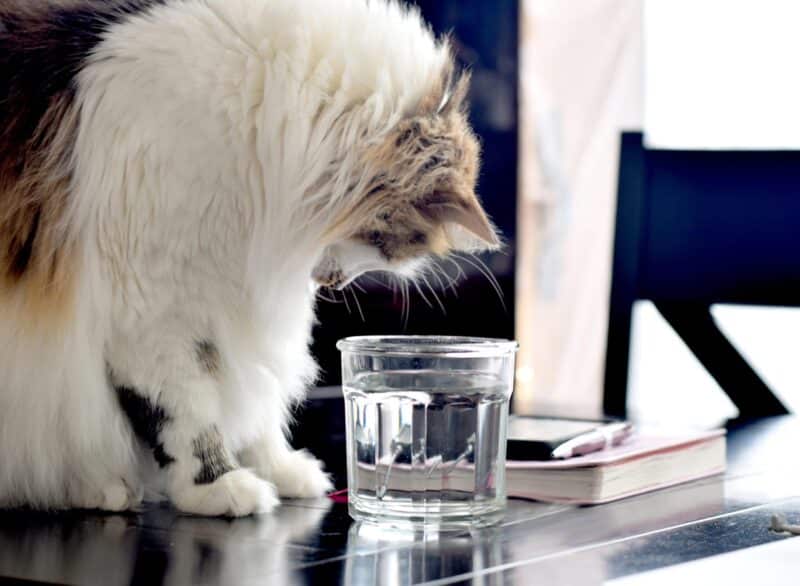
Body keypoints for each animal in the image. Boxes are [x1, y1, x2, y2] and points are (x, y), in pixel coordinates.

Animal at [0, 0, 500, 512]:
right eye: (383, 242)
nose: (331, 284)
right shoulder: (154, 307)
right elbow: (188, 412)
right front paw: (219, 487)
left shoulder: (244, 310)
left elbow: (256, 403)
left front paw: (281, 470)